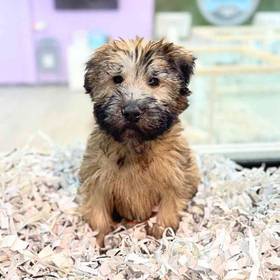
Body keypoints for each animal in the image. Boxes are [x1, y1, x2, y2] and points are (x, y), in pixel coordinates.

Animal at [79, 37, 200, 247]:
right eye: (117, 79)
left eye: (154, 81)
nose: (131, 111)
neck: (135, 145)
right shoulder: (97, 181)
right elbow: (98, 217)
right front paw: (99, 243)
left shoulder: (174, 180)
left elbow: (167, 214)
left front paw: (160, 238)